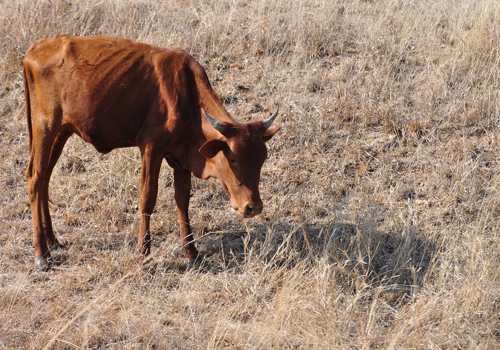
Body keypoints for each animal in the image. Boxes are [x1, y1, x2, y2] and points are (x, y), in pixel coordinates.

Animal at [23, 34, 280, 270]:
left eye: (262, 159)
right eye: (233, 159)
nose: (253, 207)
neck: (185, 93)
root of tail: (34, 50)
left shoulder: (181, 160)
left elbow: (182, 201)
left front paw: (192, 252)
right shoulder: (151, 149)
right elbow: (147, 198)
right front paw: (144, 250)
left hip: (61, 133)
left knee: (44, 178)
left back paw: (52, 240)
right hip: (45, 128)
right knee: (35, 180)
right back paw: (41, 254)